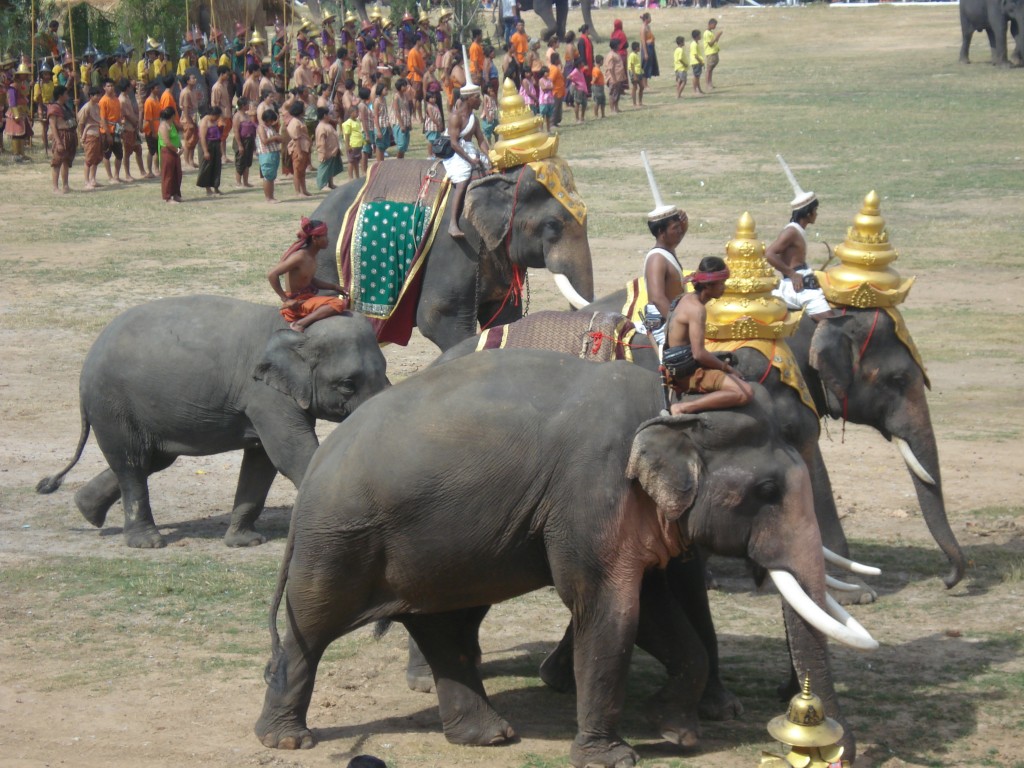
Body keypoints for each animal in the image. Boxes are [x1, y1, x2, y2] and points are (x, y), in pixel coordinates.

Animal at [36, 290, 387, 548]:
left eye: (384, 370)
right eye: (347, 384)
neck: (297, 328)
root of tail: (87, 363)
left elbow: (262, 462)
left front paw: (245, 542)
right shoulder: (264, 395)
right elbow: (291, 453)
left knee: (151, 460)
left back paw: (86, 510)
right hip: (113, 405)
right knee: (132, 463)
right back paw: (147, 542)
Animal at [249, 352, 872, 765]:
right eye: (767, 490)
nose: (838, 753)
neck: (671, 407)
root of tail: (315, 468)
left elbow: (650, 607)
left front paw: (677, 732)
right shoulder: (593, 490)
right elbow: (608, 607)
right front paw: (613, 758)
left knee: (442, 628)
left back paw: (489, 737)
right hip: (339, 540)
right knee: (313, 626)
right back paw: (286, 739)